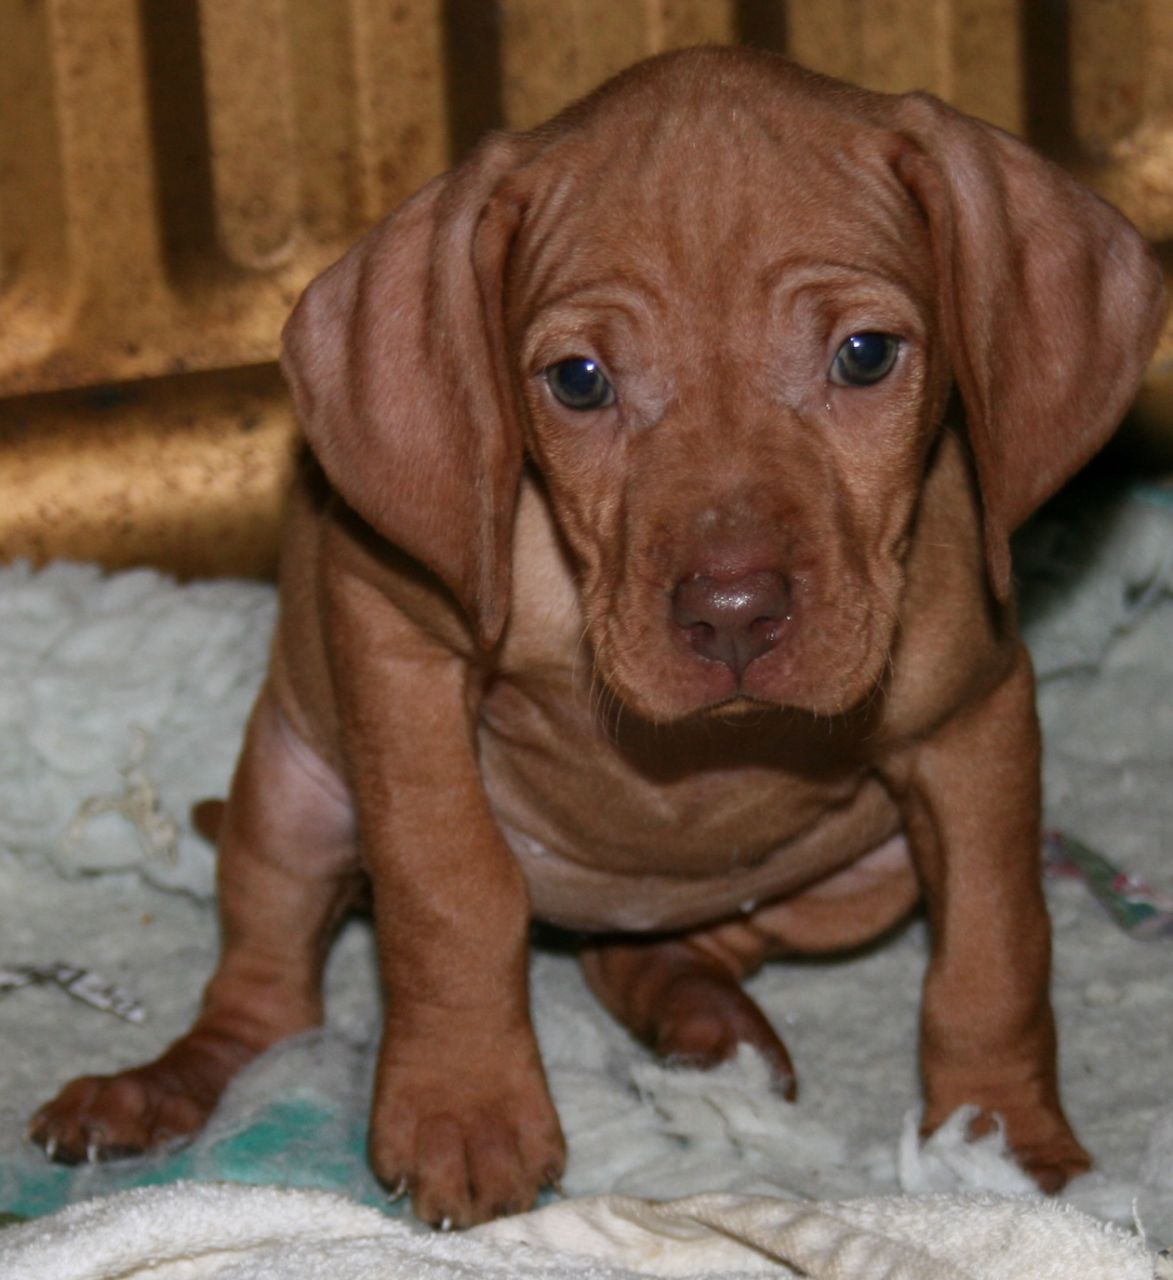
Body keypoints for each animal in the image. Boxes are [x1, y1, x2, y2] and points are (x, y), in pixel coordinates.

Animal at [32, 47, 1167, 1228]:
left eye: (864, 356)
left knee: (660, 952)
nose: (733, 613)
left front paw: (1007, 1146)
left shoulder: (975, 724)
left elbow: (995, 949)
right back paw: (153, 1090)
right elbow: (450, 890)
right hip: (291, 799)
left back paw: (710, 1030)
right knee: (261, 1010)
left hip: (850, 879)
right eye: (579, 380)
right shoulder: (389, 641)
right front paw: (465, 1109)